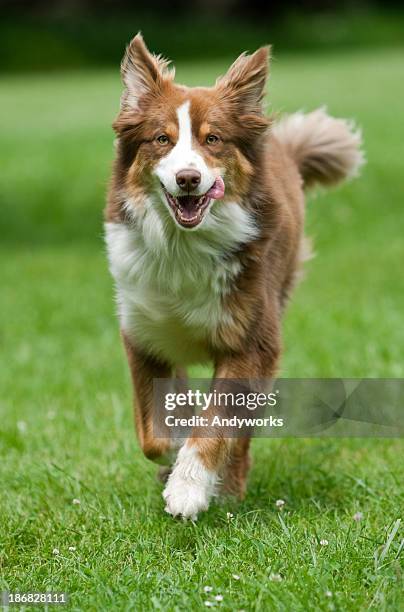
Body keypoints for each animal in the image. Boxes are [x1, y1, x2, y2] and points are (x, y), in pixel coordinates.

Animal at [104, 33, 362, 520]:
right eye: (162, 139)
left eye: (213, 139)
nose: (188, 178)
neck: (182, 249)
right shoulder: (145, 335)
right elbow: (154, 435)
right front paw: (174, 457)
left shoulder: (251, 340)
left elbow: (217, 423)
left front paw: (188, 486)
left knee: (241, 434)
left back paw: (229, 486)